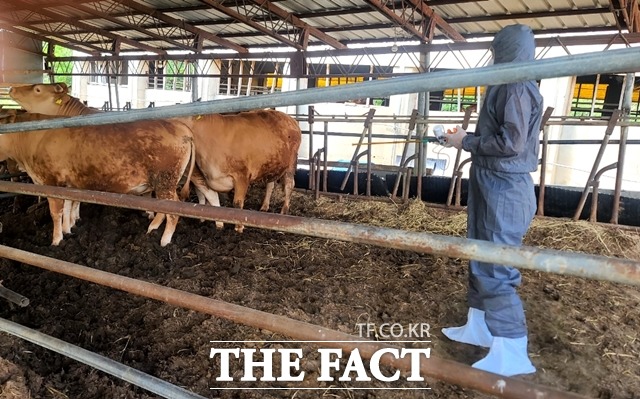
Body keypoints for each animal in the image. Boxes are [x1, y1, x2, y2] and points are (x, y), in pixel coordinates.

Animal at [0, 110, 195, 247]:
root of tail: (180, 126)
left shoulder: (50, 182)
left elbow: (56, 213)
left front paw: (56, 240)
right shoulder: (69, 184)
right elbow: (69, 206)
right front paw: (68, 230)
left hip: (165, 181)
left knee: (173, 211)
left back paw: (164, 241)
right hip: (164, 184)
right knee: (165, 208)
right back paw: (152, 228)